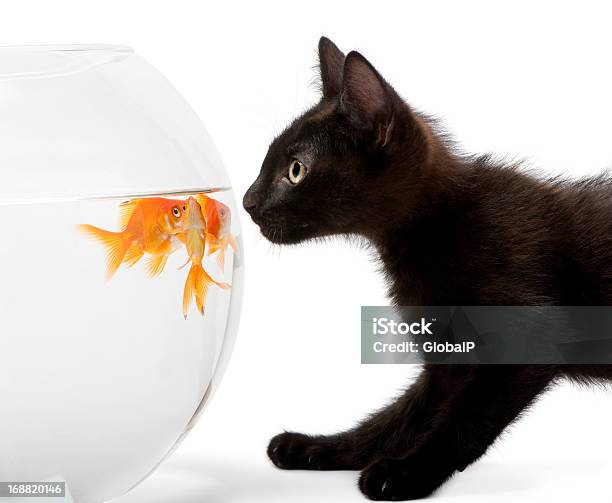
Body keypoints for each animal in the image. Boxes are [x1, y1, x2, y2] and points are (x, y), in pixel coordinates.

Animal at [243, 37, 612, 502]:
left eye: (296, 171)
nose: (248, 201)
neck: (436, 230)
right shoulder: (450, 358)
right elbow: (397, 420)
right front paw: (318, 448)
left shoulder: (527, 341)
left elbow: (462, 422)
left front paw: (406, 473)